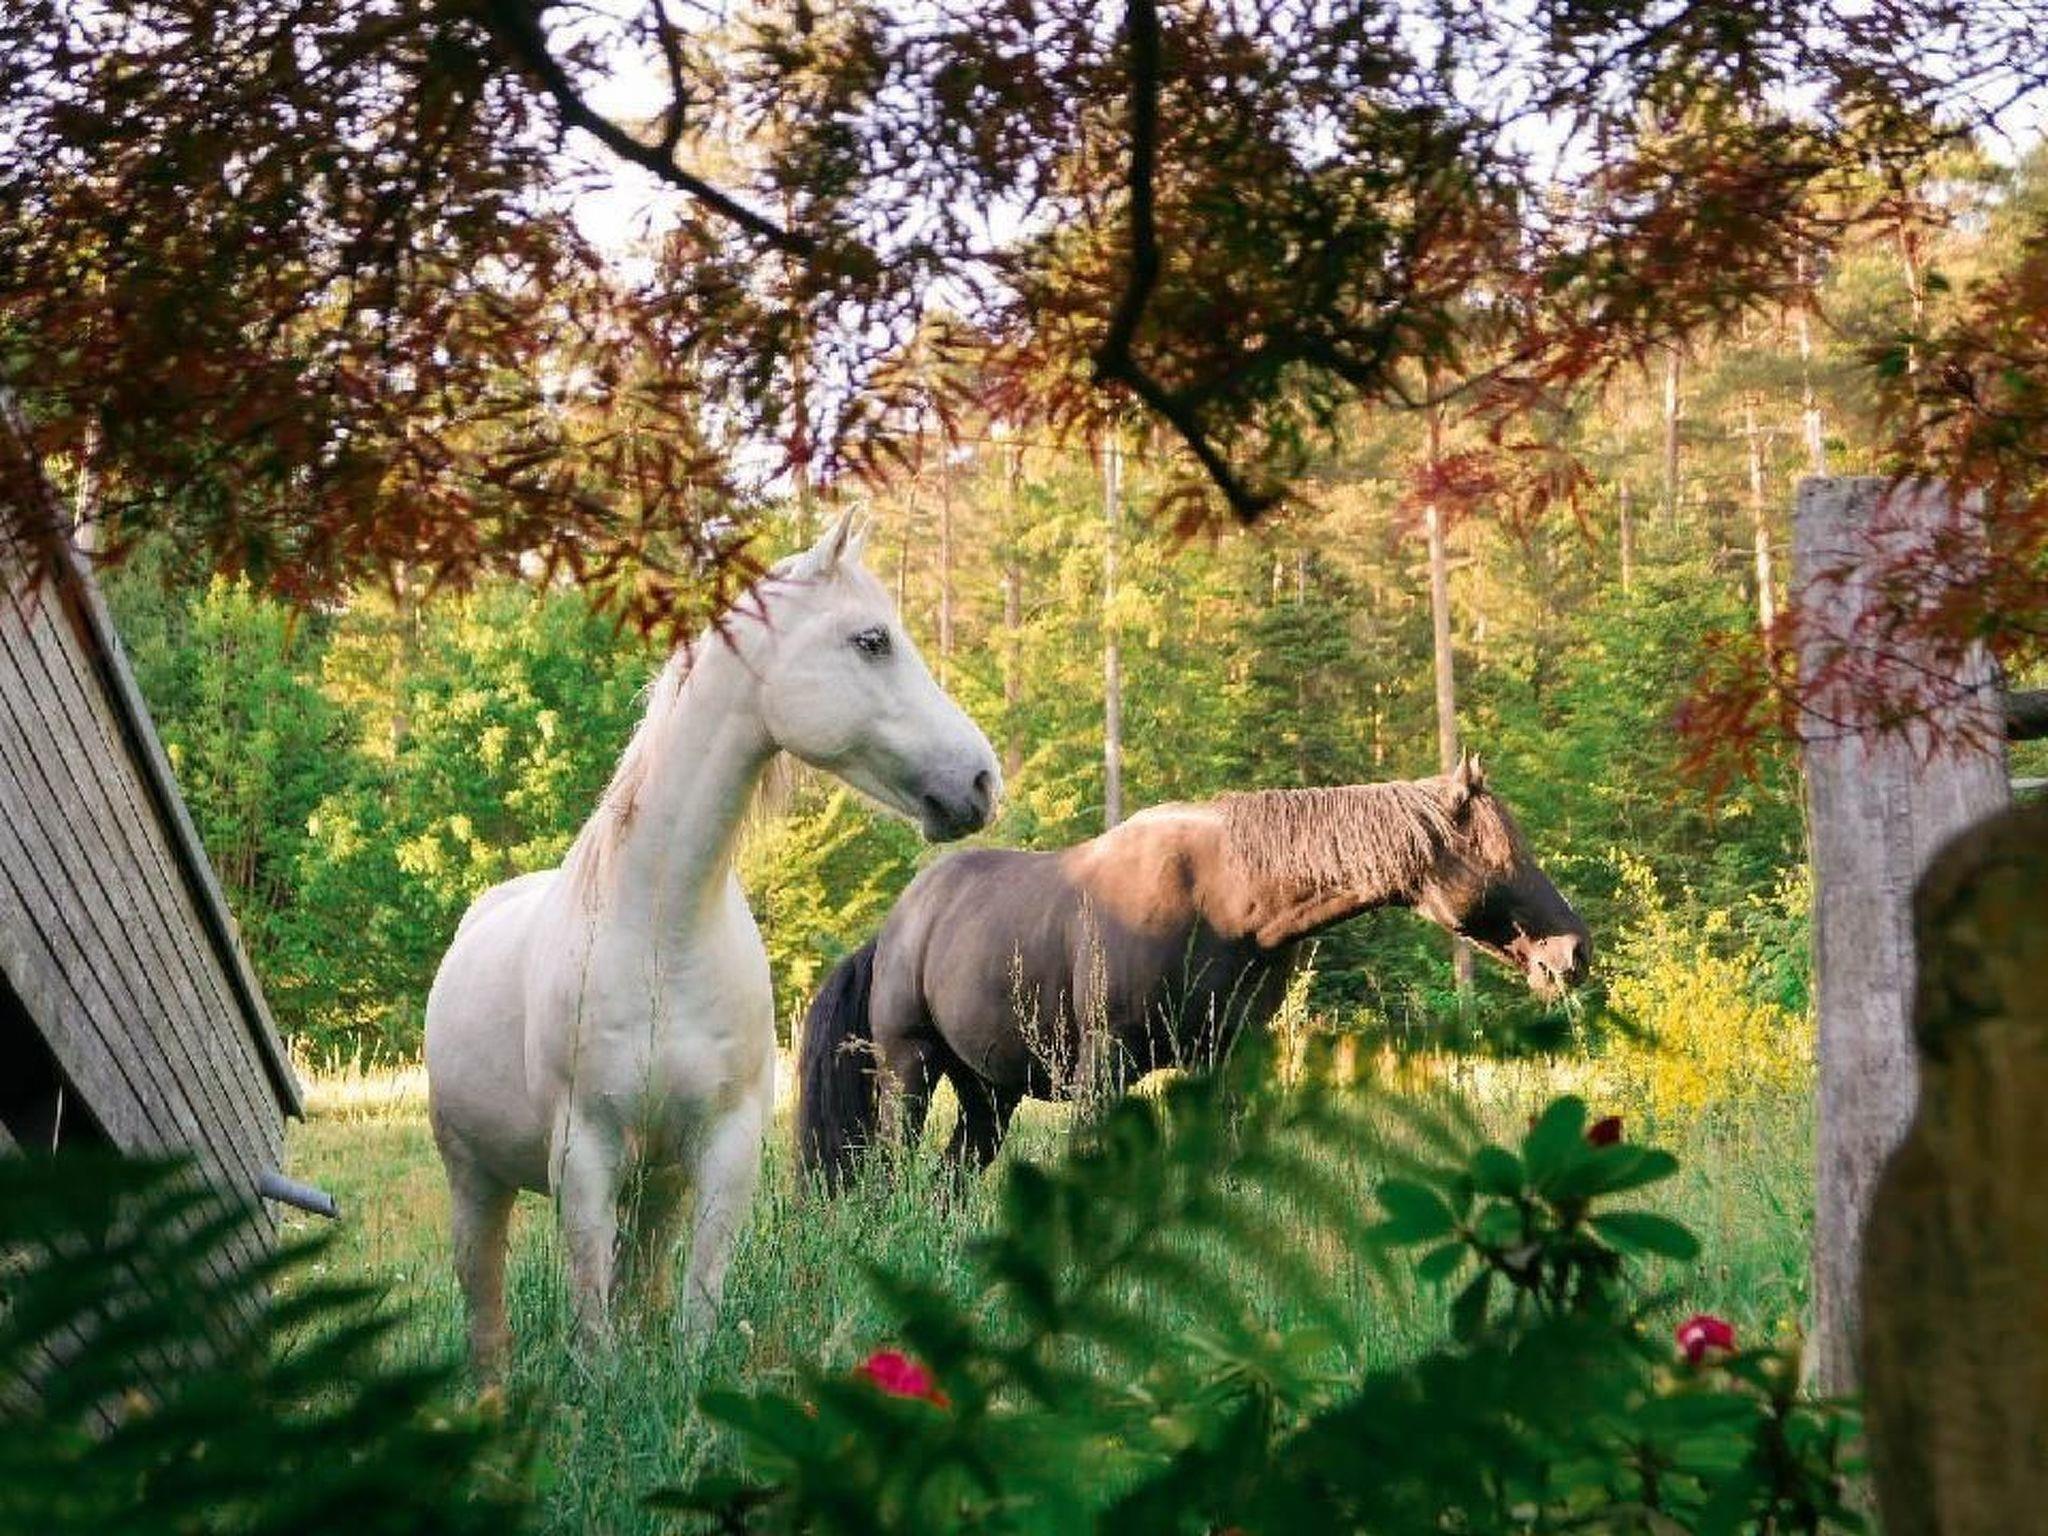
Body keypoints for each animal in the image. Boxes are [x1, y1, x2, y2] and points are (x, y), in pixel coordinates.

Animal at [423, 513, 1001, 1371]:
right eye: (871, 640)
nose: (982, 782)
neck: (663, 934)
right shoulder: (585, 1159)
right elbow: (593, 1333)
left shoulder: (721, 1152)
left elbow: (694, 1316)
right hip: (475, 1183)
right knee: (484, 1310)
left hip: (655, 1188)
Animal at [796, 755, 1590, 1186]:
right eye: (1502, 854)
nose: (1573, 953)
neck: (1226, 901)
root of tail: (895, 926)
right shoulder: (1105, 1066)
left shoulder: (1227, 1059)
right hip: (910, 1070)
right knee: (891, 1171)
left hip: (988, 1095)